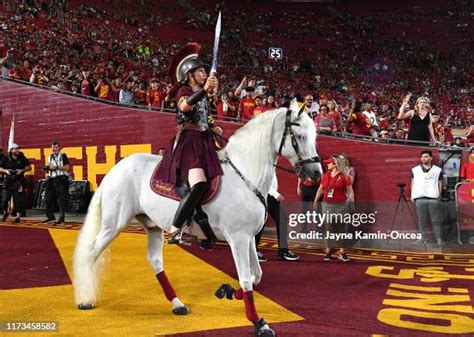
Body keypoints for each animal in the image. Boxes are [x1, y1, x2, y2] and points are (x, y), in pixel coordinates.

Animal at [73, 103, 322, 334]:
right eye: (300, 136)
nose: (317, 173)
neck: (245, 175)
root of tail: (115, 169)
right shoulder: (238, 239)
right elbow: (246, 279)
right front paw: (259, 323)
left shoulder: (249, 237)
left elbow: (256, 275)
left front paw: (227, 291)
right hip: (114, 224)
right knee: (92, 252)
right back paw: (86, 298)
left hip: (152, 225)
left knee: (155, 260)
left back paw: (177, 304)